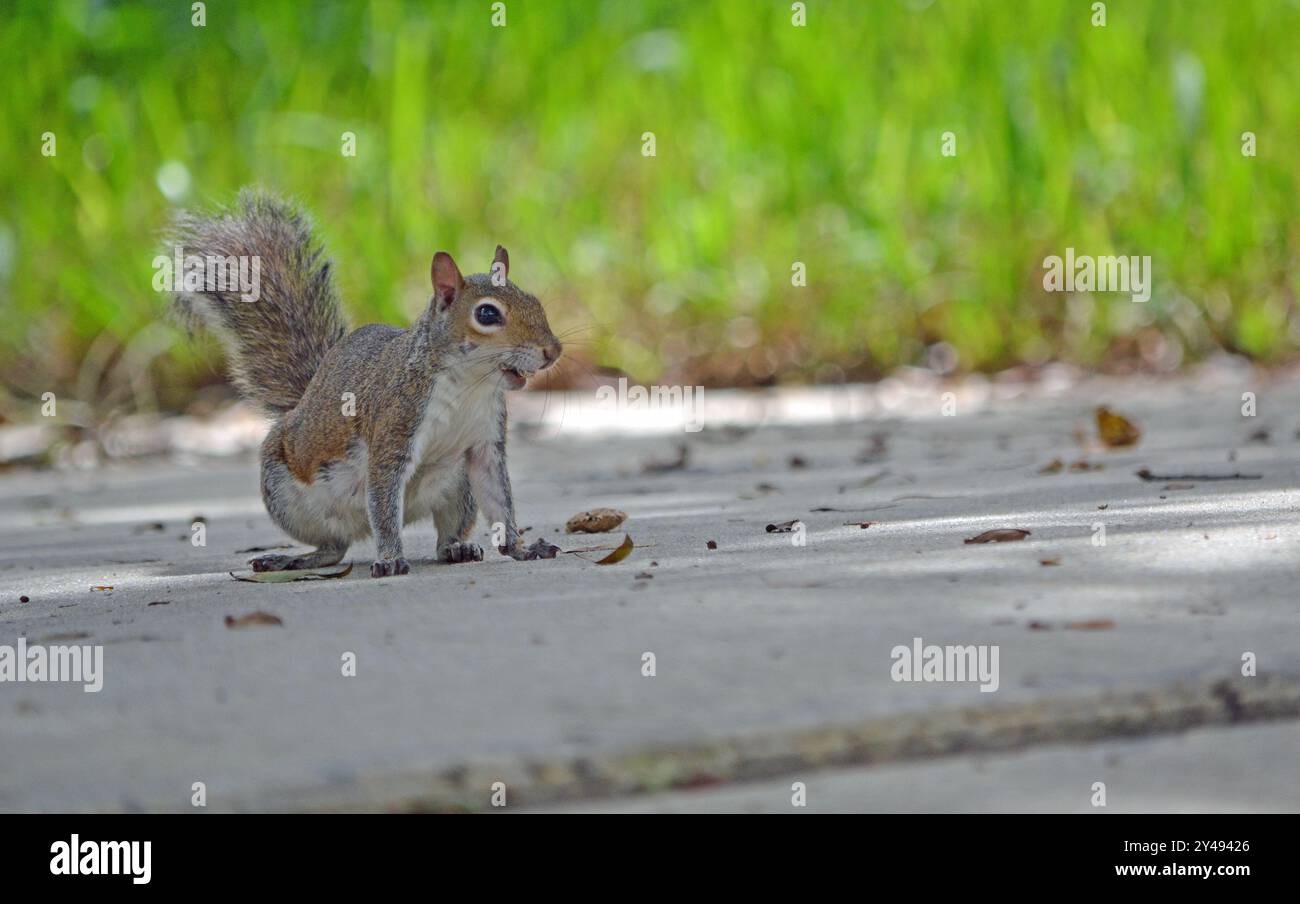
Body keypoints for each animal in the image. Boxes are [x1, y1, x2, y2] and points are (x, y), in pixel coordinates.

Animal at [168, 189, 563, 577]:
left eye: (535, 302)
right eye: (487, 313)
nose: (553, 351)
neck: (469, 385)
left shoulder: (483, 444)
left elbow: (498, 499)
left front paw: (520, 547)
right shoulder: (394, 427)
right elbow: (385, 506)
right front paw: (389, 558)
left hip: (458, 488)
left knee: (442, 533)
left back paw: (457, 547)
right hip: (286, 497)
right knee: (334, 547)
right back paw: (295, 559)